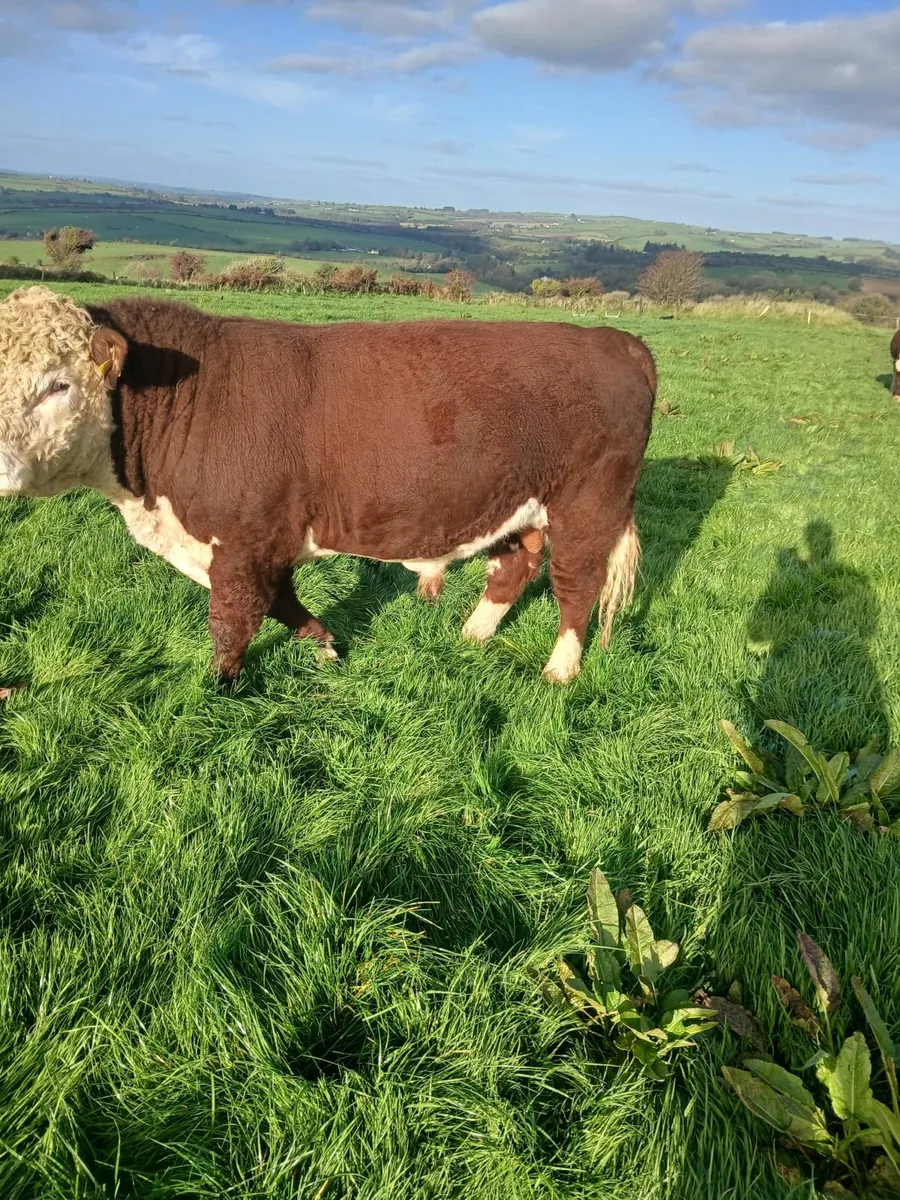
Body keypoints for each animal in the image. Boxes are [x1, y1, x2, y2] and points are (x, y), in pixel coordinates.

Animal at [0, 286, 655, 684]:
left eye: (59, 384)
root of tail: (618, 340)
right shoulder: (262, 541)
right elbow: (281, 603)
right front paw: (326, 645)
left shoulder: (244, 542)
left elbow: (233, 621)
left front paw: (220, 689)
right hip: (514, 502)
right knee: (515, 565)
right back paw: (473, 636)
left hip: (589, 504)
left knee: (577, 586)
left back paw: (560, 670)